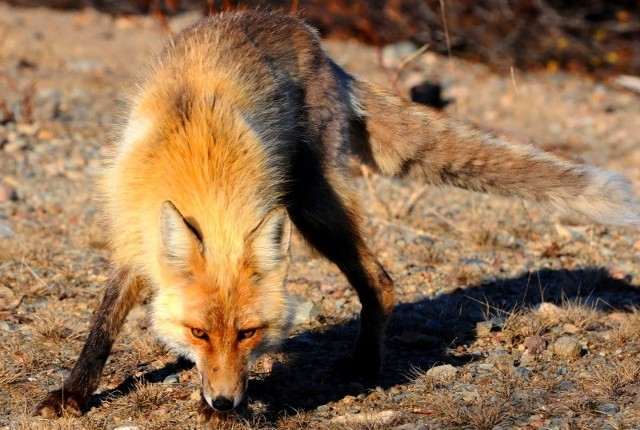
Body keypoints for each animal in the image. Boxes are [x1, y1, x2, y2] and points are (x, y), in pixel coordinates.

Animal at [36, 9, 640, 420]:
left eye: (249, 333)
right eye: (199, 332)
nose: (228, 402)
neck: (200, 163)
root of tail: (314, 40)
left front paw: (210, 407)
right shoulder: (132, 239)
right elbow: (103, 323)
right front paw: (74, 391)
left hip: (312, 205)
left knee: (382, 281)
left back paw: (366, 365)